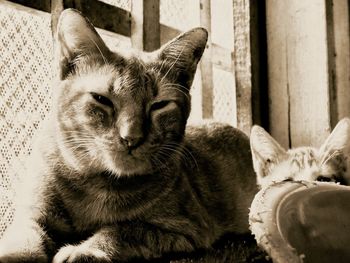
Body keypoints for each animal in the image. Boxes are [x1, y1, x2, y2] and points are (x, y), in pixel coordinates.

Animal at [0, 8, 258, 263]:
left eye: (159, 105)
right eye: (101, 99)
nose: (131, 138)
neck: (98, 184)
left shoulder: (185, 230)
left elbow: (124, 229)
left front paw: (86, 250)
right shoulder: (32, 216)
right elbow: (23, 240)